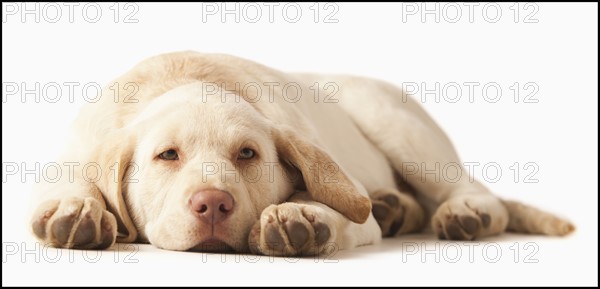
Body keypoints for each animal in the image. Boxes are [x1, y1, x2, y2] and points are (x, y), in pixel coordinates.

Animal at [29, 50, 576, 255]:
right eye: (167, 155)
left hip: (392, 121)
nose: (213, 205)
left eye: (248, 154)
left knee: (475, 191)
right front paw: (78, 208)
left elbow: (337, 209)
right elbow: (76, 180)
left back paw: (464, 212)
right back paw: (396, 207)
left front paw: (299, 214)